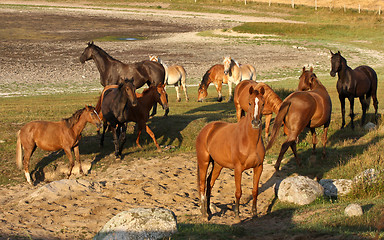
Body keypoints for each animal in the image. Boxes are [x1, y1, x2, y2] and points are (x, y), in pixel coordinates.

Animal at [196, 85, 266, 221]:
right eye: (250, 103)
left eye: (263, 103)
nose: (256, 123)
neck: (249, 141)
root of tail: (206, 129)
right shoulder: (238, 169)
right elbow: (238, 192)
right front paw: (237, 215)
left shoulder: (259, 167)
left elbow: (255, 191)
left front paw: (254, 214)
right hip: (204, 162)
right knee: (202, 185)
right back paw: (204, 214)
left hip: (218, 165)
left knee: (209, 183)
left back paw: (208, 210)